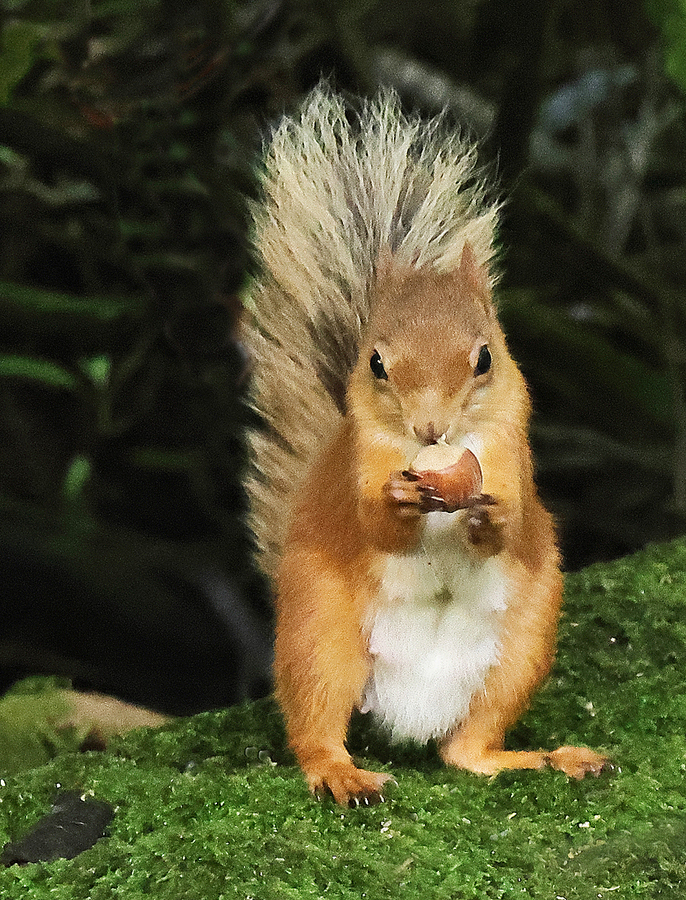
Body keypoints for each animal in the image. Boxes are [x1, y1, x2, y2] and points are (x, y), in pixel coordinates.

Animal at [241, 85, 609, 806]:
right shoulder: (356, 462)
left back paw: (544, 759)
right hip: (321, 636)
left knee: (465, 751)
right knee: (315, 727)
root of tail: (408, 708)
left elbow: (513, 518)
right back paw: (340, 773)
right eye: (377, 362)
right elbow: (370, 520)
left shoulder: (510, 450)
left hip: (521, 648)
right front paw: (396, 502)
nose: (430, 430)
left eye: (486, 357)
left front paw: (492, 518)